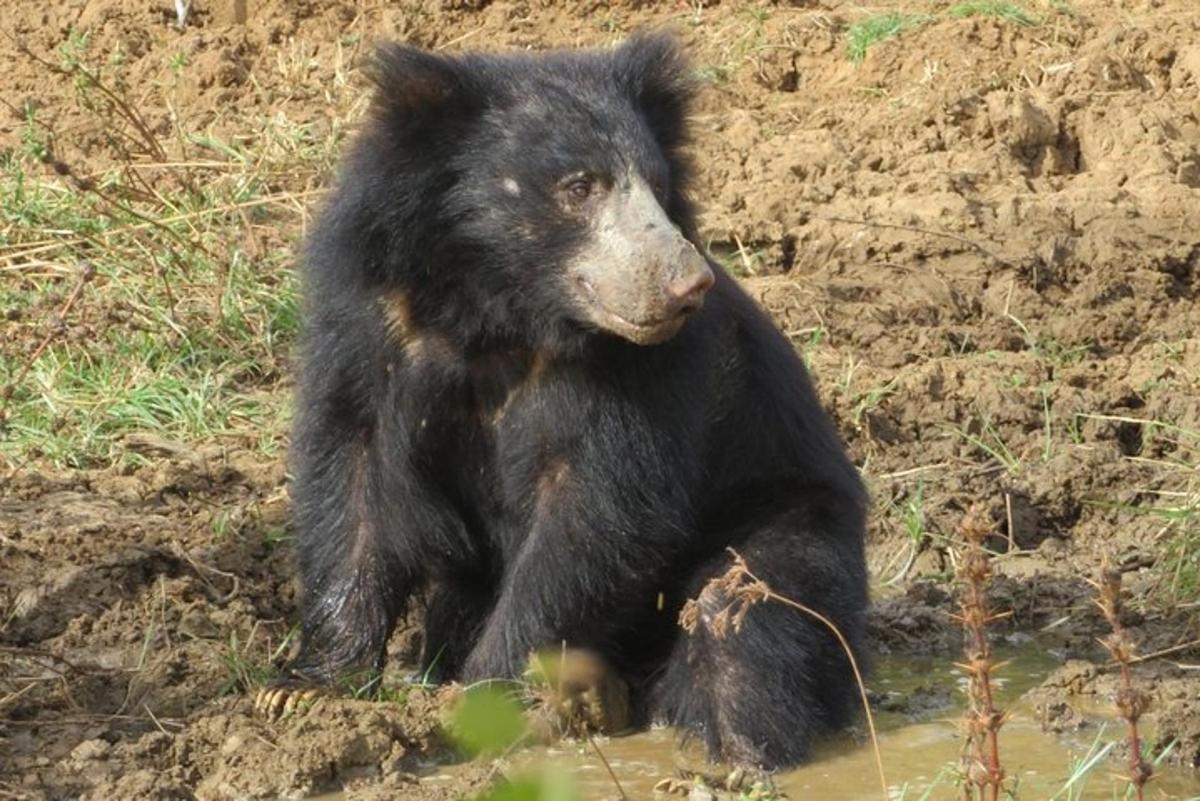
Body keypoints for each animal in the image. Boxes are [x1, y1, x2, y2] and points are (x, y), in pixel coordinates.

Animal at [285, 32, 868, 767]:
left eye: (657, 184)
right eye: (580, 187)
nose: (687, 286)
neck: (498, 307)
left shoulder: (633, 370)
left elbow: (592, 513)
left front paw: (479, 696)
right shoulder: (372, 326)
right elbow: (355, 477)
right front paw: (312, 689)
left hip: (787, 514)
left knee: (739, 622)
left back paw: (729, 749)